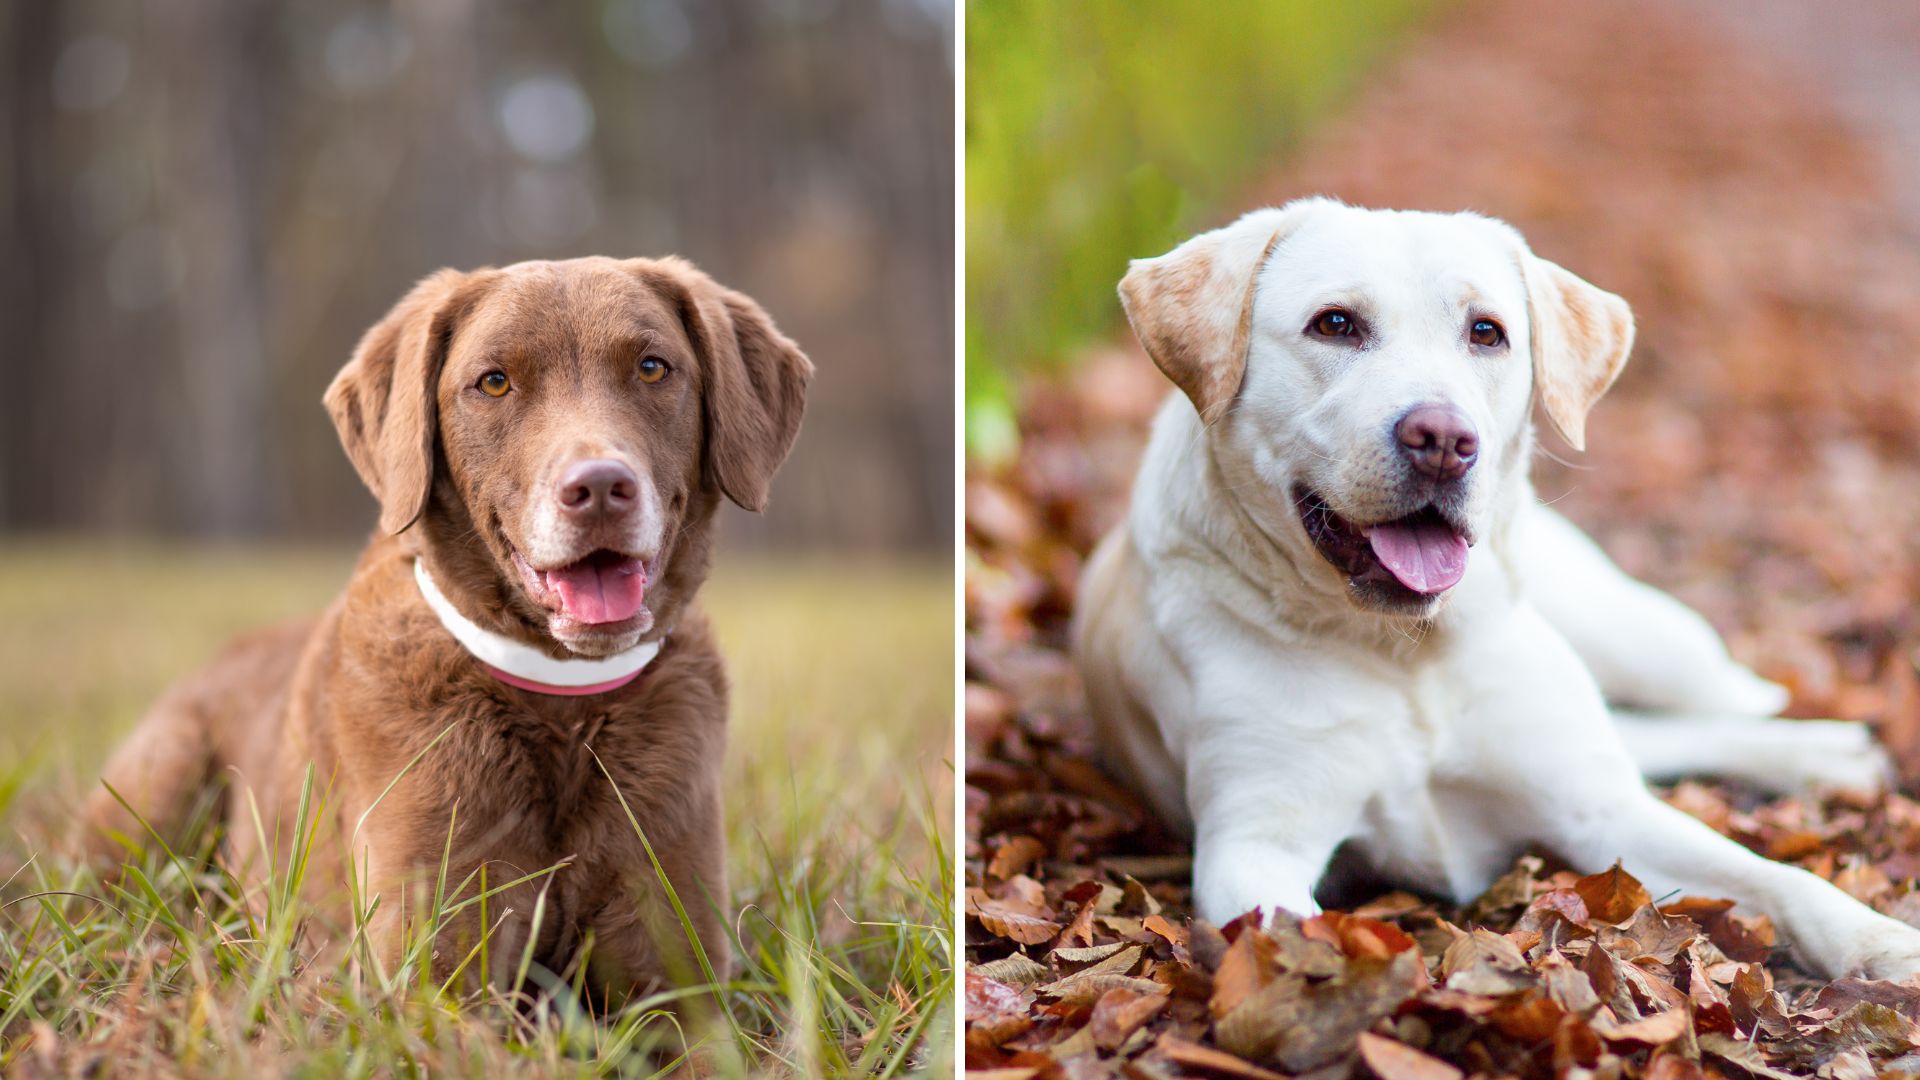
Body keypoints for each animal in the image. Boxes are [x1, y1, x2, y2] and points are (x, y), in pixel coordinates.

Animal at [76, 255, 802, 999]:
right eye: (494, 382)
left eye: (653, 367)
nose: (600, 488)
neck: (563, 708)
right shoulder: (432, 974)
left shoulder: (677, 974)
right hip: (159, 783)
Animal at [1075, 197, 1920, 980]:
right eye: (1335, 324)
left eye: (1486, 332)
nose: (1444, 440)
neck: (1405, 651)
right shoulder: (1255, 844)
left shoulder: (1600, 810)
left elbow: (1776, 878)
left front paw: (1884, 944)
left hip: (1642, 640)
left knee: (1714, 705)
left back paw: (1826, 750)